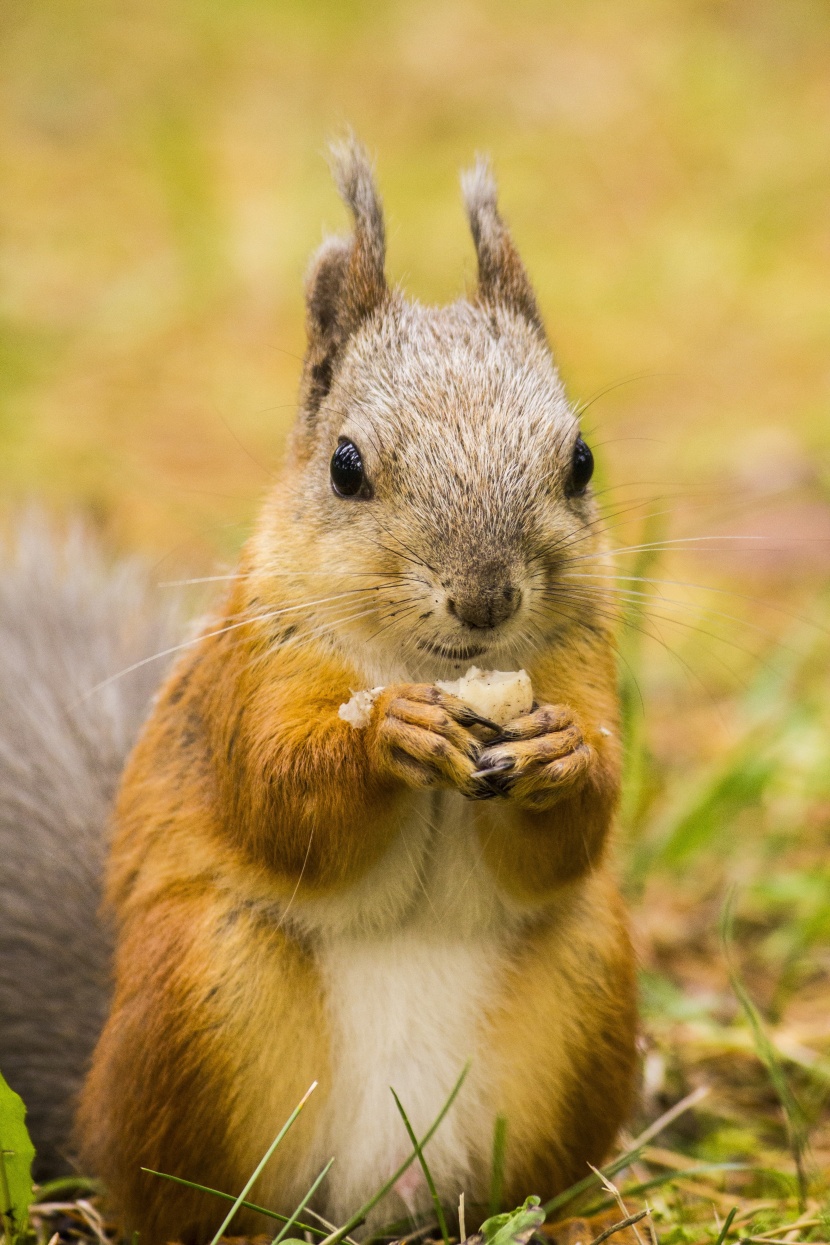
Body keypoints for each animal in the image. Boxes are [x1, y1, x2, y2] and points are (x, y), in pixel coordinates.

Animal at [0, 141, 642, 1240]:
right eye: (345, 466)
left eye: (581, 461)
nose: (485, 597)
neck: (439, 664)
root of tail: (379, 1196)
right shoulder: (252, 675)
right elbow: (277, 800)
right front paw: (386, 732)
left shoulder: (580, 665)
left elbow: (570, 837)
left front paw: (561, 756)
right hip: (204, 990)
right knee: (182, 1199)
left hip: (586, 983)